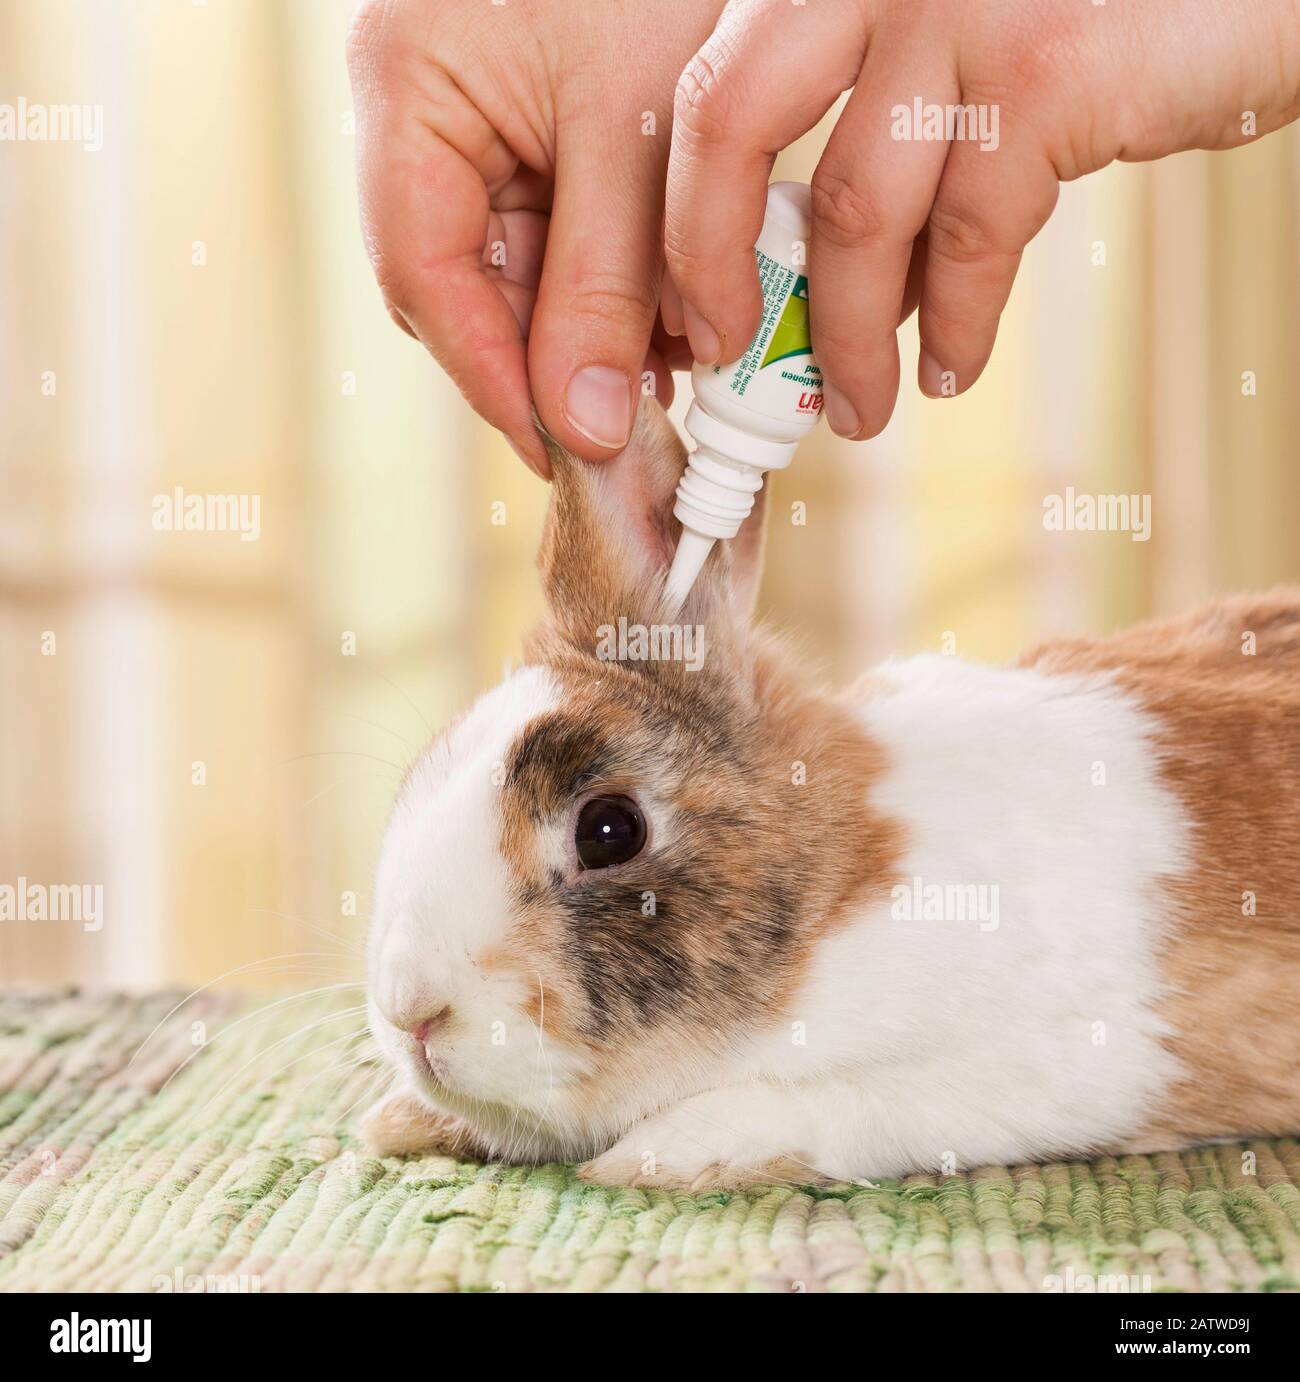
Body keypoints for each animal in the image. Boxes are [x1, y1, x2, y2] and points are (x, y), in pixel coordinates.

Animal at [360, 396, 1300, 1190]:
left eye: (609, 830)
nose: (413, 1012)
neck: (831, 904)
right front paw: (400, 1121)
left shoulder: (1069, 1069)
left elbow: (837, 1106)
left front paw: (664, 1158)